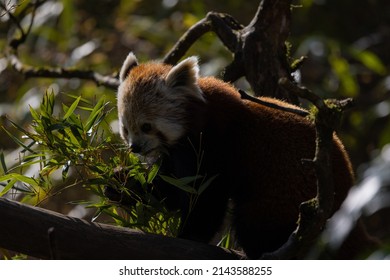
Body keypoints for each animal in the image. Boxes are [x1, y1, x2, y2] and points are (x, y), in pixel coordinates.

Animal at [116, 52, 354, 258]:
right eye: (126, 129)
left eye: (146, 126)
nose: (135, 147)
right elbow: (169, 187)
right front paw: (122, 183)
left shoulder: (215, 144)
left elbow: (205, 197)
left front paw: (189, 235)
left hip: (284, 198)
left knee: (255, 222)